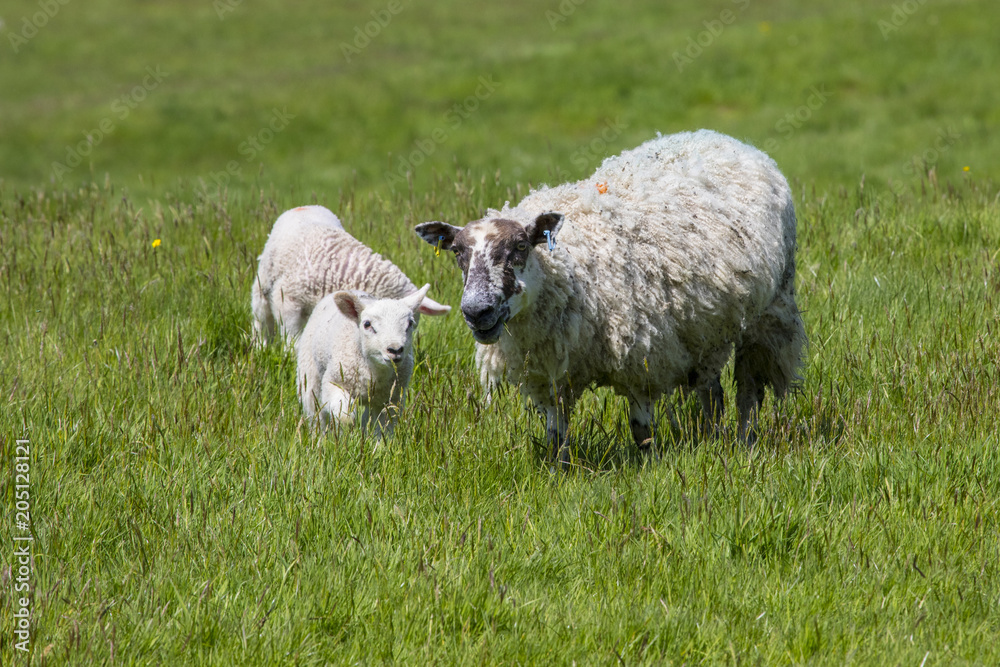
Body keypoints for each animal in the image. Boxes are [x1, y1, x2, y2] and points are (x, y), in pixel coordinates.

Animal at [252, 205, 450, 346]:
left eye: (411, 325)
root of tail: (303, 207)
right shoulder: (288, 300)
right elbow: (292, 336)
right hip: (263, 282)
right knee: (261, 317)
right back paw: (260, 346)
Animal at [296, 284, 431, 439]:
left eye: (410, 323)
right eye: (367, 324)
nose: (395, 350)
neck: (375, 372)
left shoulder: (392, 398)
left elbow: (384, 428)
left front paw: (377, 444)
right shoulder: (334, 382)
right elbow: (345, 417)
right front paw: (345, 436)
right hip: (309, 375)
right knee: (315, 413)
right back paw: (319, 437)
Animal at [415, 129, 806, 463]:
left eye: (521, 246)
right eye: (457, 252)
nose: (477, 312)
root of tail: (723, 138)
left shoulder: (644, 357)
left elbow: (642, 430)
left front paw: (649, 467)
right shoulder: (549, 371)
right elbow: (556, 434)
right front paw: (559, 473)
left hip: (770, 312)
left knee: (750, 389)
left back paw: (745, 442)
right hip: (705, 328)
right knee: (711, 391)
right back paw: (711, 437)